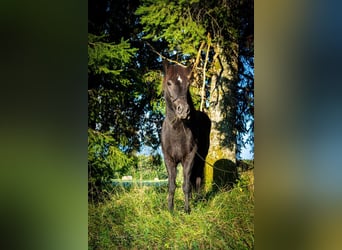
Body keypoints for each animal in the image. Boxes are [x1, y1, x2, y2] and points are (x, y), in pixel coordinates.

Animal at [161, 62, 211, 213]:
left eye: (188, 84)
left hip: (201, 159)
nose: (183, 110)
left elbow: (186, 185)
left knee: (197, 179)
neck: (176, 130)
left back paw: (199, 200)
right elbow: (172, 186)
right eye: (169, 83)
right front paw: (170, 210)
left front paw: (187, 210)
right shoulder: (169, 159)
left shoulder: (190, 157)